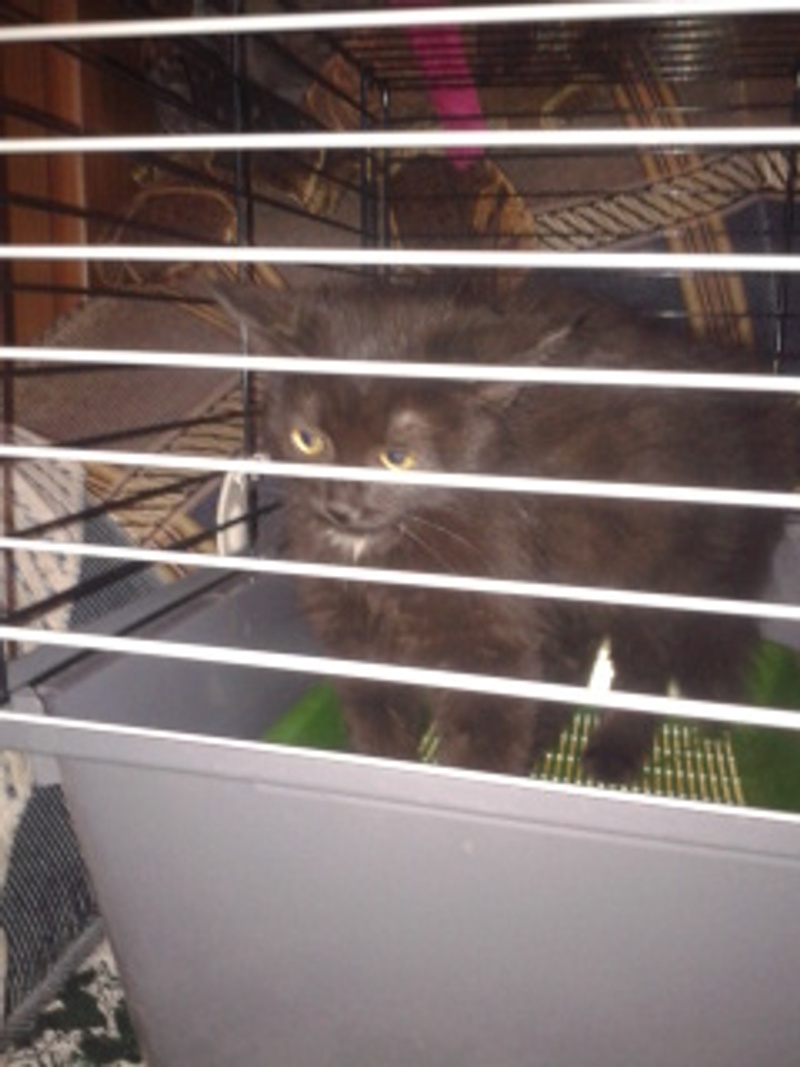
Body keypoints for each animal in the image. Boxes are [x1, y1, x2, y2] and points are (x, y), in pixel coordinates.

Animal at [217, 276, 795, 782]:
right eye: (308, 439)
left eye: (397, 457)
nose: (339, 507)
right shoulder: (351, 628)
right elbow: (376, 717)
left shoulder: (489, 631)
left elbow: (484, 740)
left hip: (661, 568)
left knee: (646, 661)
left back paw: (615, 750)